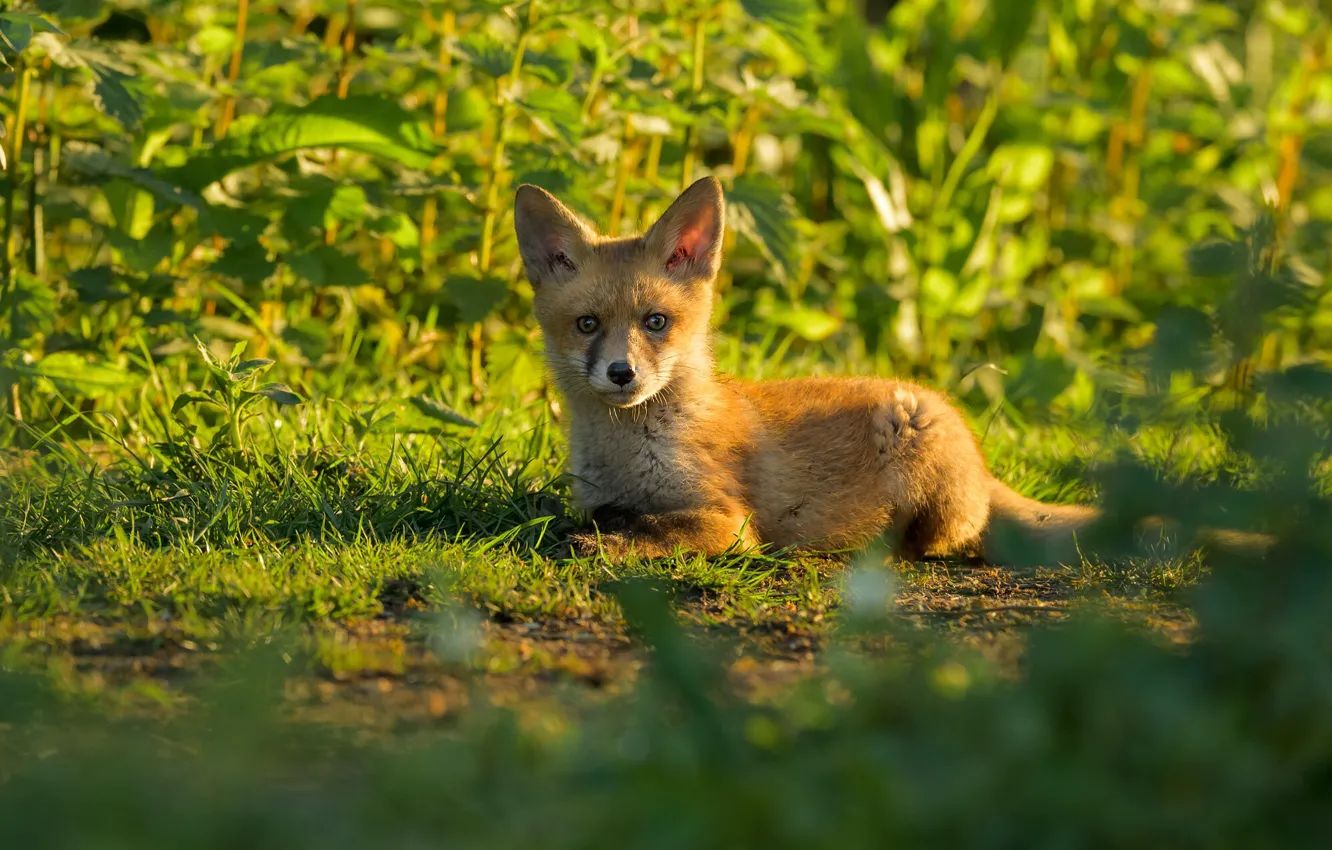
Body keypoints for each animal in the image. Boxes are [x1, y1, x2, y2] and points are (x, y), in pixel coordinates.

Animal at [511, 178, 1257, 564]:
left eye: (656, 322)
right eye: (587, 325)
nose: (622, 374)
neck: (629, 453)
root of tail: (982, 464)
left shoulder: (728, 522)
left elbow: (653, 534)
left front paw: (600, 546)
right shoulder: (600, 495)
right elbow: (601, 517)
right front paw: (580, 529)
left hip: (916, 441)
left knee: (940, 543)